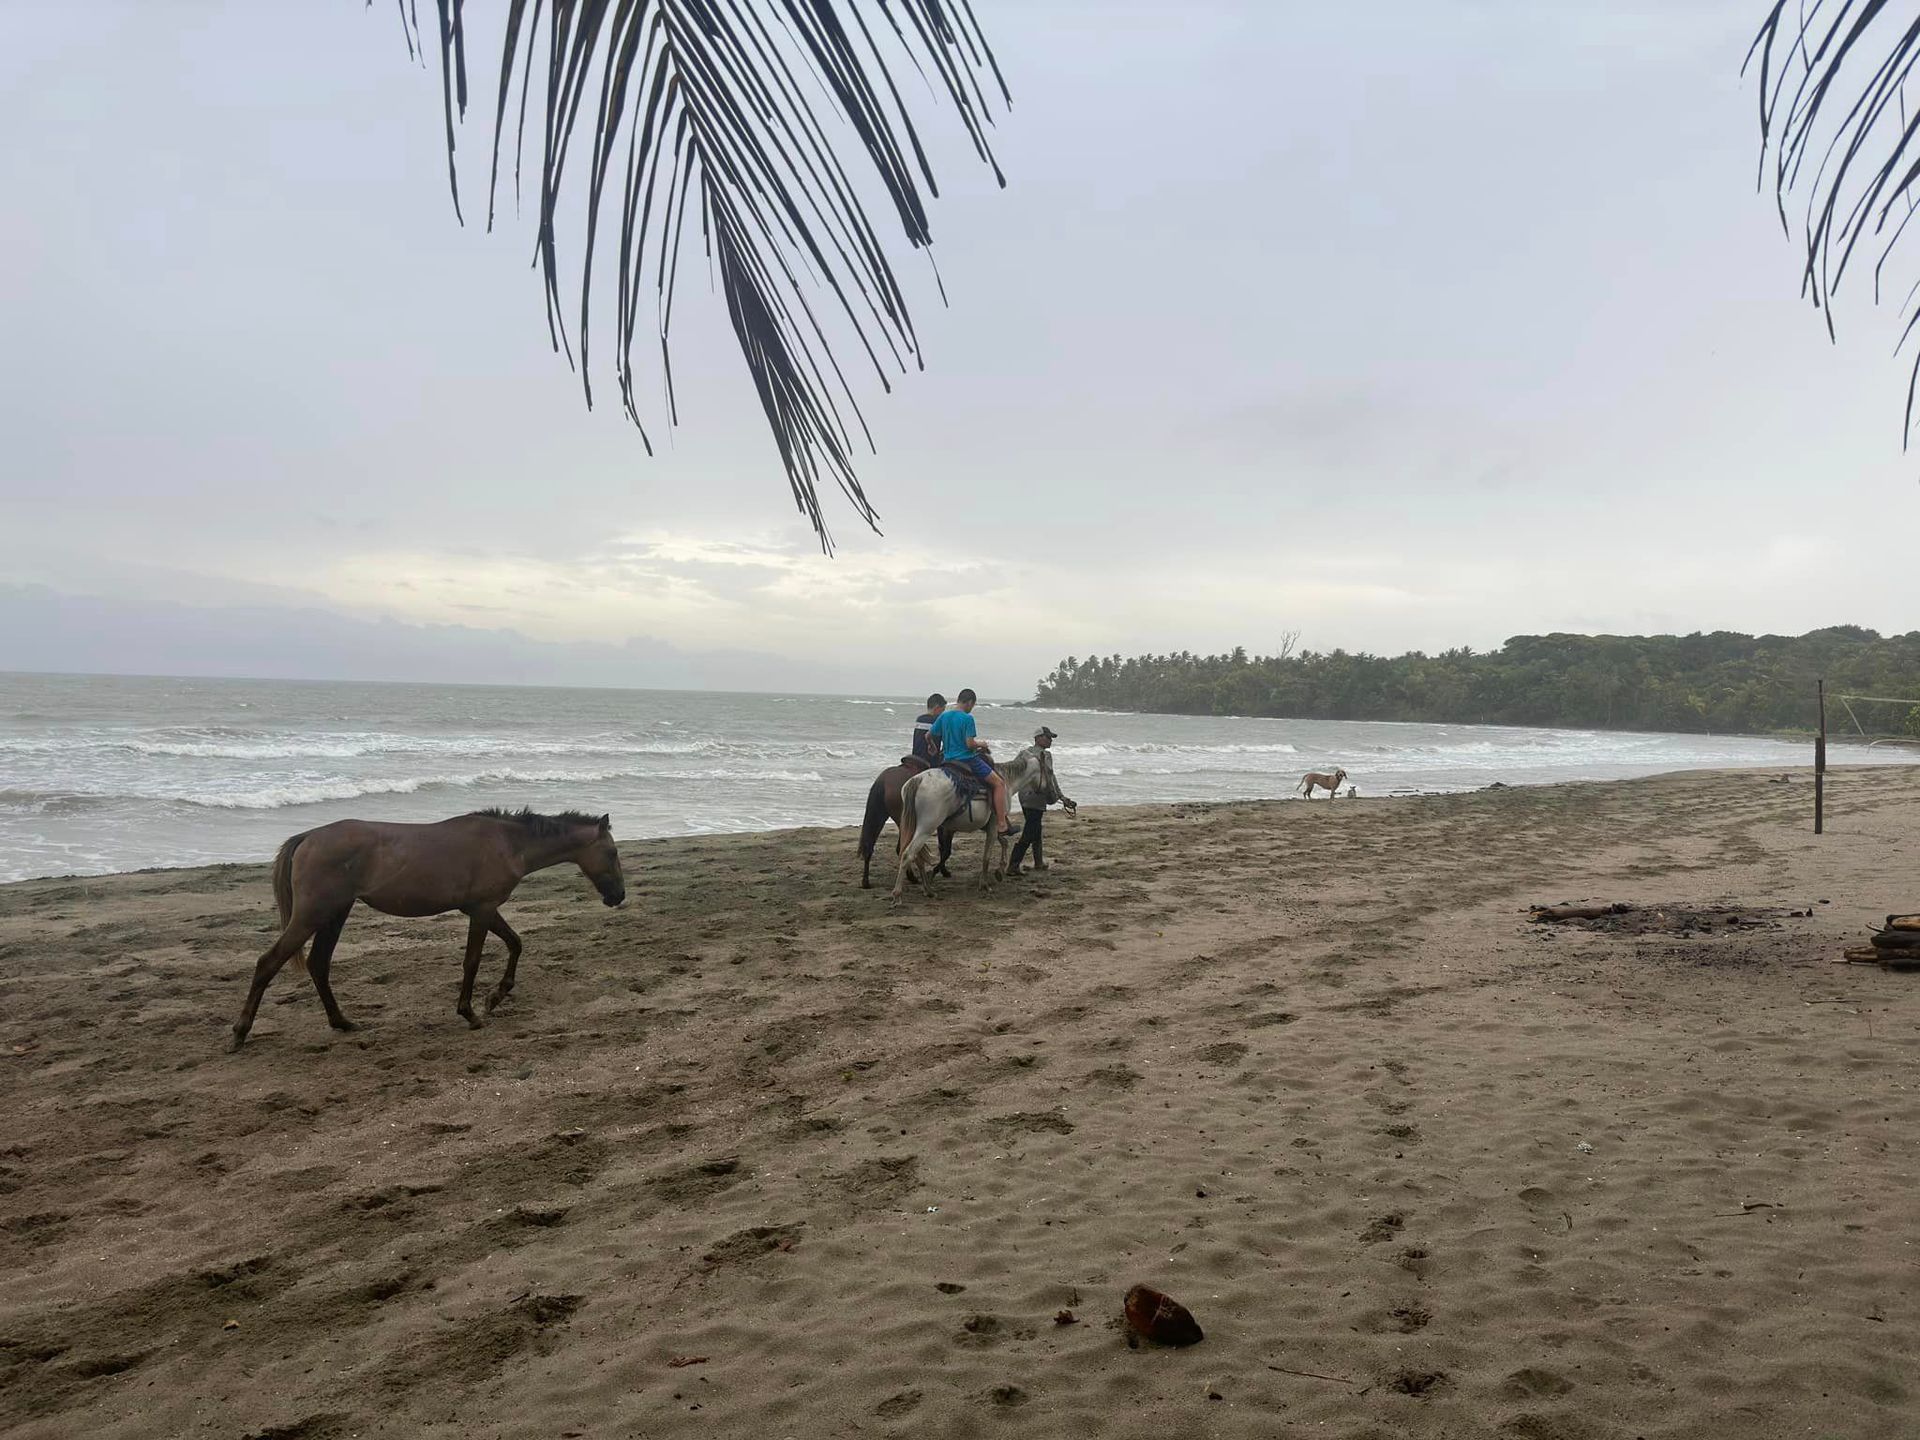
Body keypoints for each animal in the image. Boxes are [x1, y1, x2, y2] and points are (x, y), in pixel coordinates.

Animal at [226, 814, 622, 1052]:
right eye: (613, 853)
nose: (618, 896)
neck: (507, 843)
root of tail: (308, 836)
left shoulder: (482, 909)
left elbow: (516, 943)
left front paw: (496, 996)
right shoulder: (481, 910)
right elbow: (473, 961)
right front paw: (471, 1012)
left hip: (334, 914)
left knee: (319, 965)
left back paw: (342, 1023)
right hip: (313, 914)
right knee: (268, 963)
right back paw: (240, 1033)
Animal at [894, 748, 1052, 906]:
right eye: (1050, 771)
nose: (1051, 793)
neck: (1006, 780)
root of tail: (918, 780)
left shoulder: (987, 826)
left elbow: (1004, 842)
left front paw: (1000, 871)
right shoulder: (994, 825)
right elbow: (987, 855)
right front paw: (985, 884)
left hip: (917, 828)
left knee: (916, 856)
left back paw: (928, 890)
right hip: (926, 828)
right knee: (908, 854)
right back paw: (898, 895)